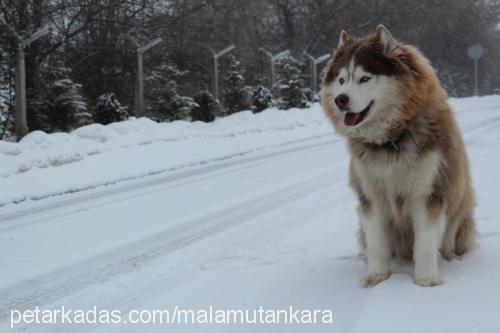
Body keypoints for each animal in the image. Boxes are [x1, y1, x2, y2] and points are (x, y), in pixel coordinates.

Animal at [320, 25, 476, 286]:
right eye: (341, 80)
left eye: (364, 78)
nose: (340, 99)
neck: (391, 140)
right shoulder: (371, 197)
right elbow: (376, 243)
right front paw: (376, 275)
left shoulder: (427, 193)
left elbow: (425, 244)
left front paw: (426, 280)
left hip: (459, 212)